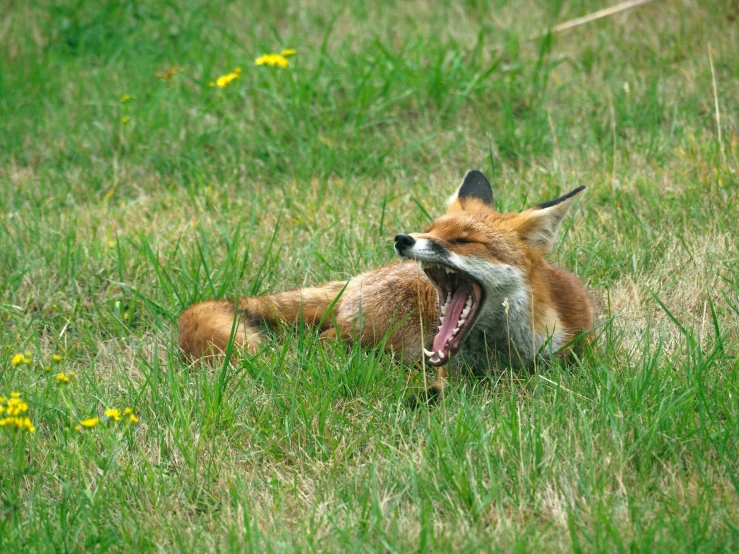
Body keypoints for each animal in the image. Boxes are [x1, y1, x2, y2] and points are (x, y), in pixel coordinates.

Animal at [178, 168, 596, 396]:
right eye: (430, 229)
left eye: (463, 240)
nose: (403, 238)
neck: (499, 354)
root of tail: (357, 278)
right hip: (389, 332)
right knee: (327, 341)